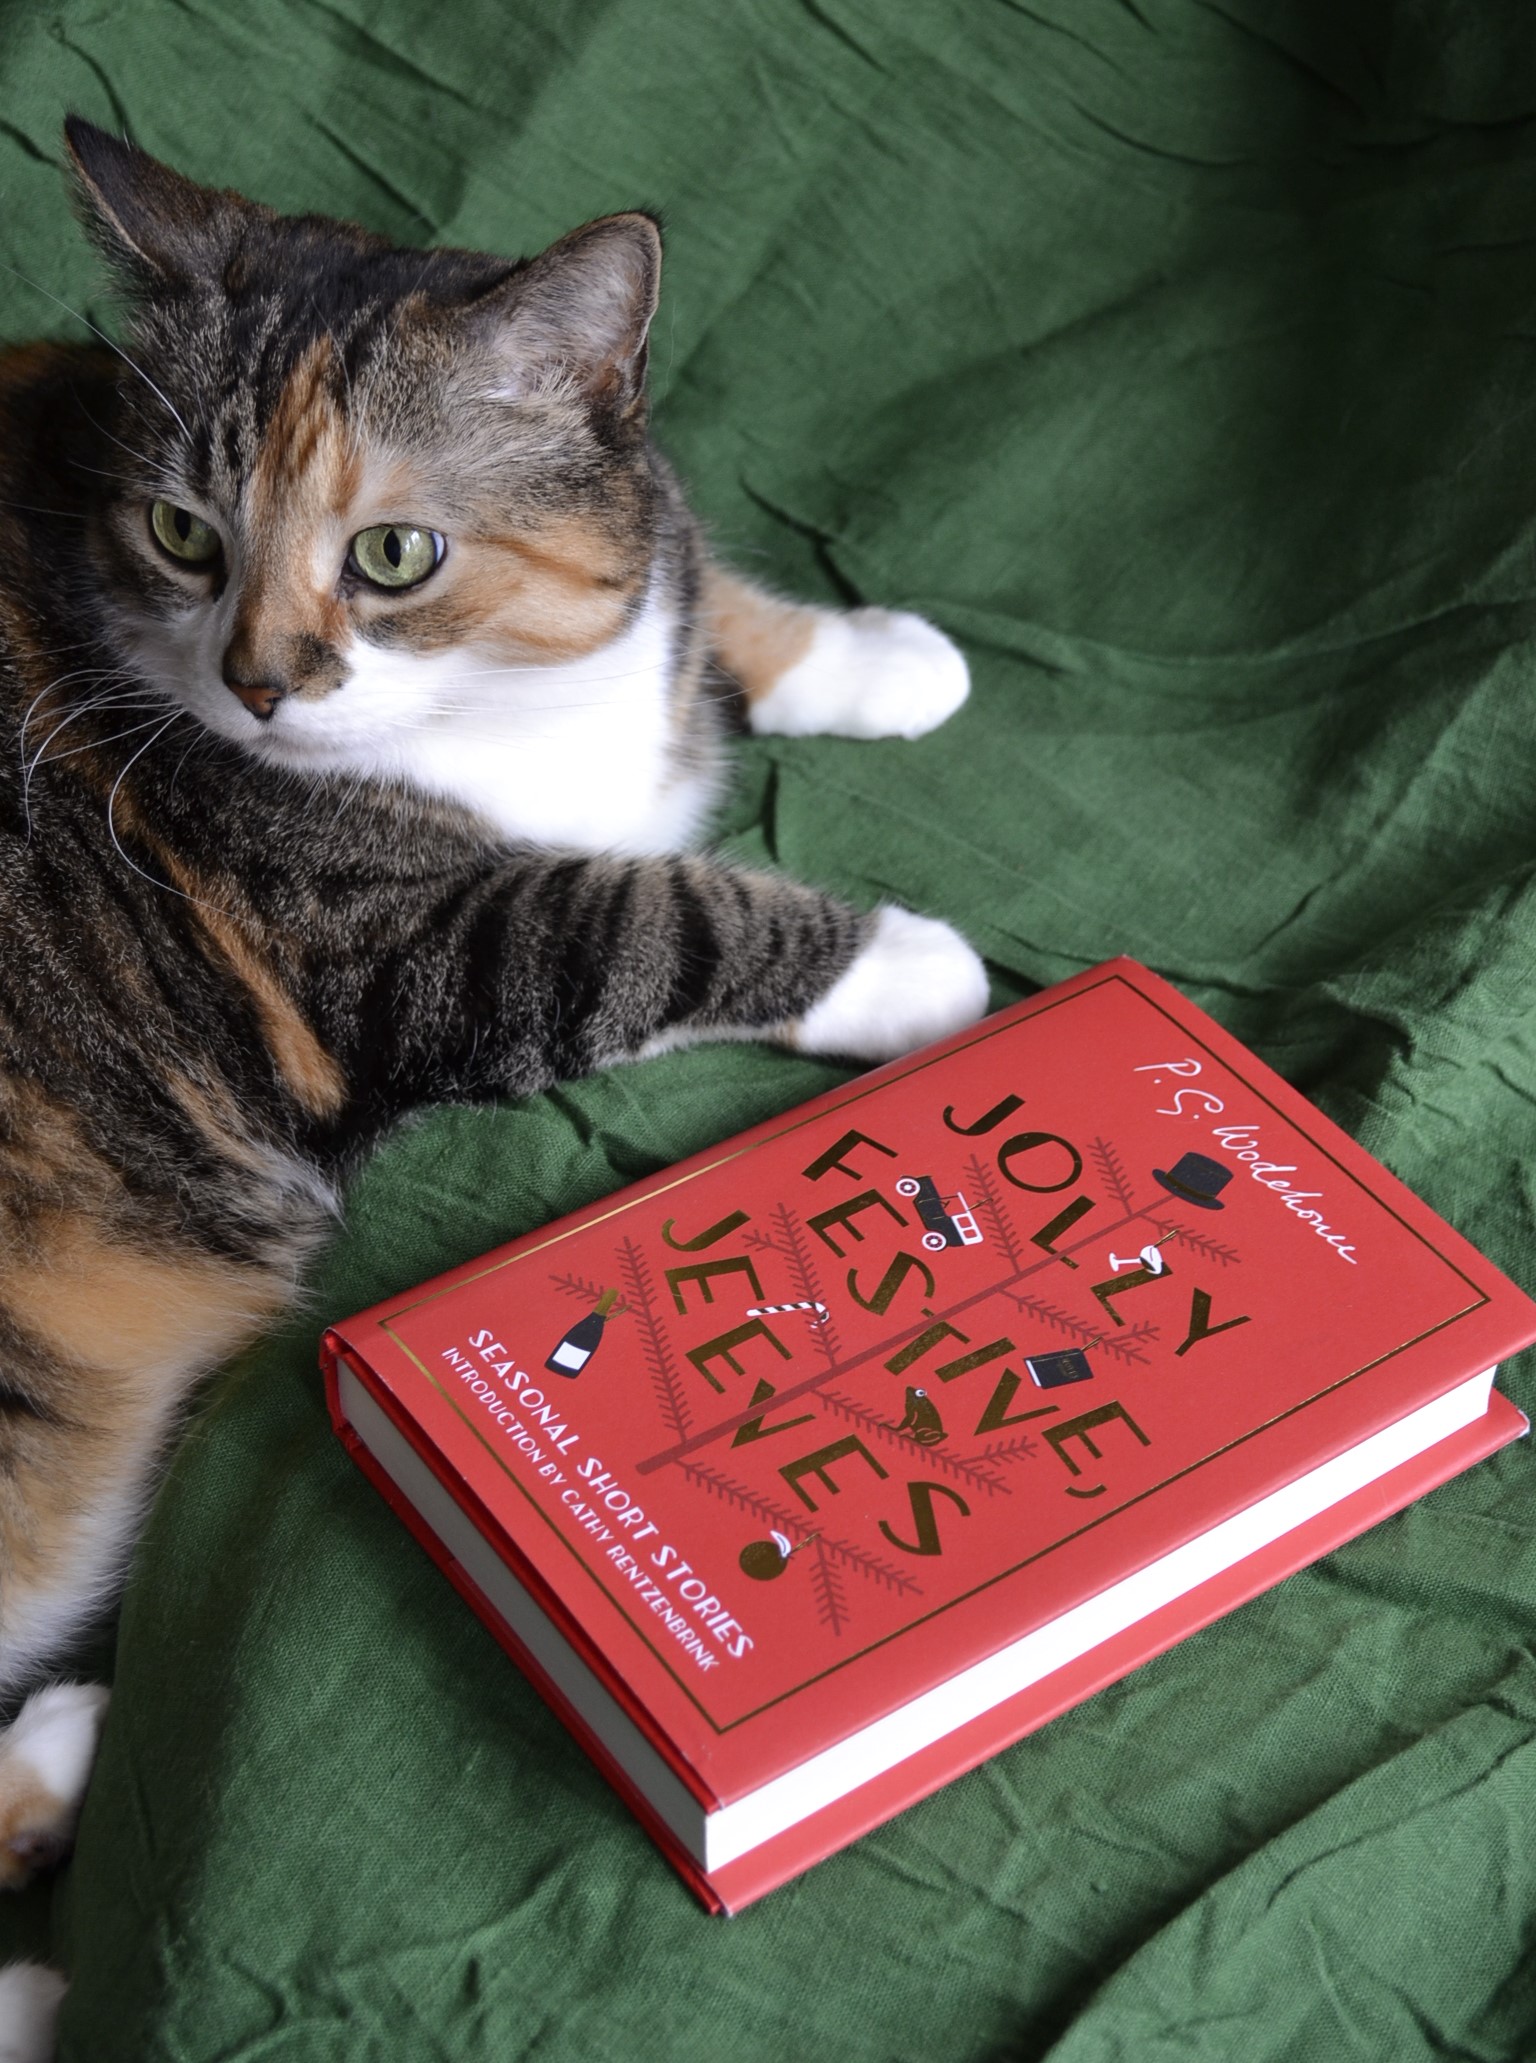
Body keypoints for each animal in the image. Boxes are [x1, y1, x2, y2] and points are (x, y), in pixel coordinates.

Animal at [0, 117, 981, 2046]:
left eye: (393, 552)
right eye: (183, 534)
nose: (258, 684)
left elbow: (690, 582)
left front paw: (872, 655)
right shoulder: (384, 951)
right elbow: (640, 907)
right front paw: (916, 964)